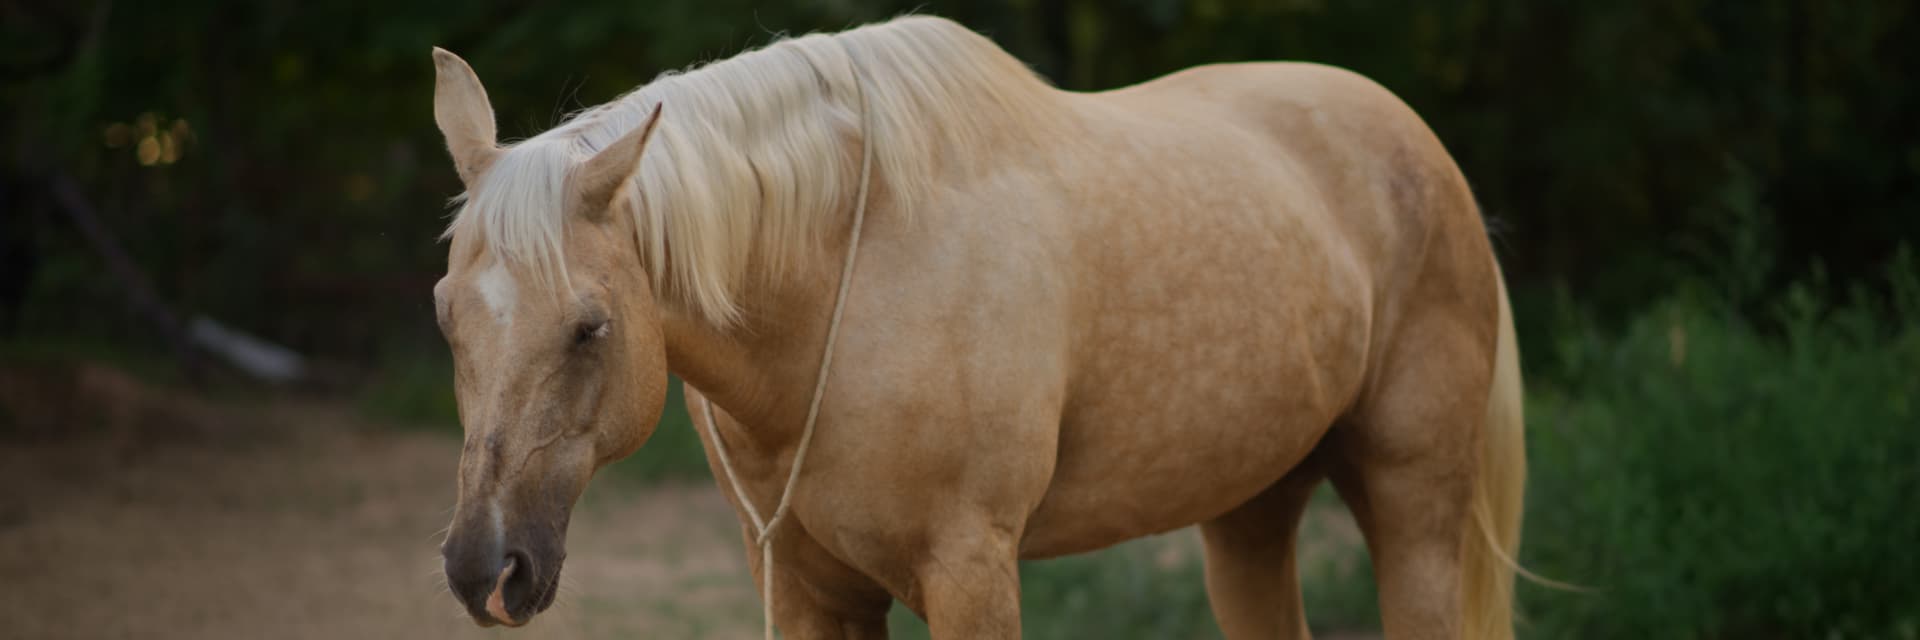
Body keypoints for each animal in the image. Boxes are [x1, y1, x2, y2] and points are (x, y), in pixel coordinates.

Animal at [426, 15, 1526, 639]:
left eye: (590, 327)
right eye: (446, 317)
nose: (487, 568)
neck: (846, 285)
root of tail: (1421, 144)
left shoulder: (971, 570)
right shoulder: (802, 585)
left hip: (1415, 506)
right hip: (1251, 510)